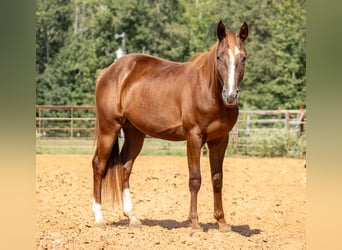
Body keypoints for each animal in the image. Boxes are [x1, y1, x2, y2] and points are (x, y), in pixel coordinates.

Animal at [92, 21, 247, 234]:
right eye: (219, 56)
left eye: (244, 58)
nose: (230, 95)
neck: (208, 90)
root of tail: (108, 72)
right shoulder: (194, 137)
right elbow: (195, 179)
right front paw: (195, 224)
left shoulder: (220, 140)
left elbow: (217, 179)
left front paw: (222, 223)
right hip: (109, 128)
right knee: (99, 166)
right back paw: (99, 218)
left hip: (135, 133)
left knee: (125, 167)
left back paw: (133, 218)